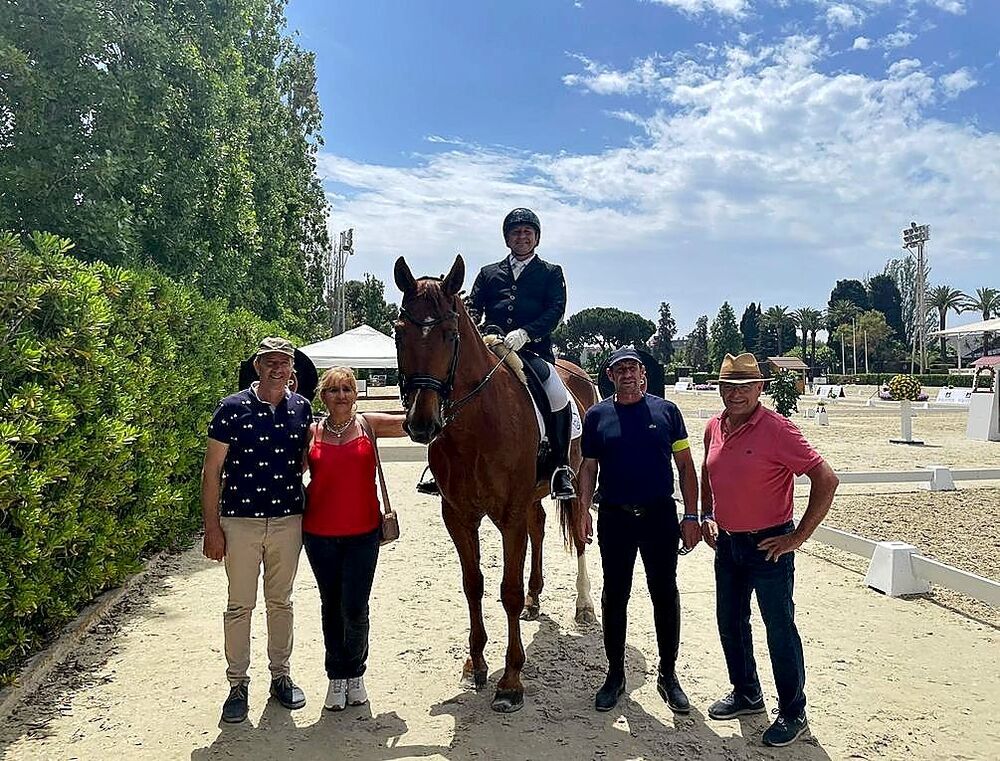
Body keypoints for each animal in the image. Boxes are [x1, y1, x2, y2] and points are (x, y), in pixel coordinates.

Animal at [394, 255, 596, 712]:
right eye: (400, 332)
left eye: (450, 335)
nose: (421, 423)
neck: (477, 423)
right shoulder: (458, 516)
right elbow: (474, 586)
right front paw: (476, 662)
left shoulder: (508, 516)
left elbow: (507, 590)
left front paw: (511, 680)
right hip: (533, 498)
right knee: (540, 527)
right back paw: (537, 598)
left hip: (580, 484)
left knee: (578, 536)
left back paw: (584, 606)